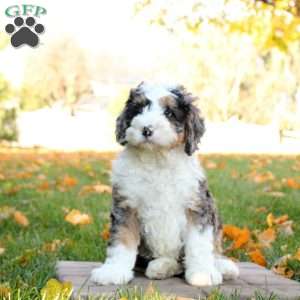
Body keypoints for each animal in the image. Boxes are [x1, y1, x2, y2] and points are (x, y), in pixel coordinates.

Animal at [91, 81, 239, 286]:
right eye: (138, 109)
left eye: (169, 113)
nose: (146, 129)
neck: (157, 160)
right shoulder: (126, 207)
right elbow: (121, 240)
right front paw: (114, 271)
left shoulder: (197, 206)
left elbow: (199, 243)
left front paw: (203, 273)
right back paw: (162, 266)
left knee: (212, 249)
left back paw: (223, 266)